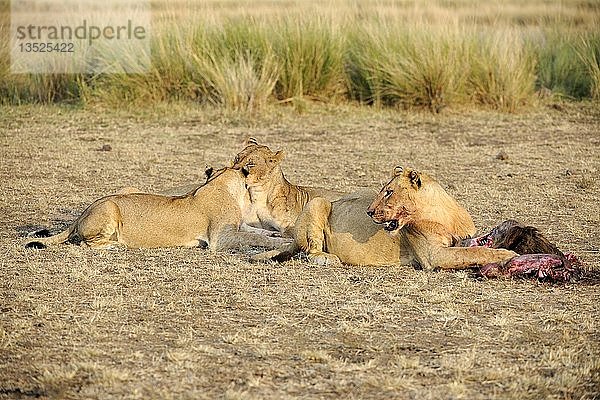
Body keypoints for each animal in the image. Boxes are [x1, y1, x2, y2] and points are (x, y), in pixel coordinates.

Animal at [24, 168, 292, 250]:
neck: (221, 183)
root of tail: (83, 212)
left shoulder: (238, 226)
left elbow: (257, 232)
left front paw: (278, 234)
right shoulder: (220, 238)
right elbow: (254, 238)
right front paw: (281, 241)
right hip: (110, 207)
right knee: (86, 243)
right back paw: (114, 245)